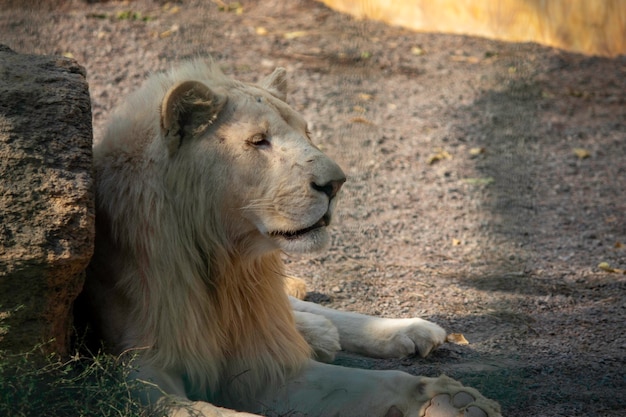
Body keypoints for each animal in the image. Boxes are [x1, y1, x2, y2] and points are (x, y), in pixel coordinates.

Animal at [85, 59, 500, 416]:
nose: (336, 184)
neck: (225, 265)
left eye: (307, 132)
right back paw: (321, 335)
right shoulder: (140, 371)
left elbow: (379, 384)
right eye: (258, 141)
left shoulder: (268, 364)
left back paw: (406, 330)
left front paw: (455, 403)